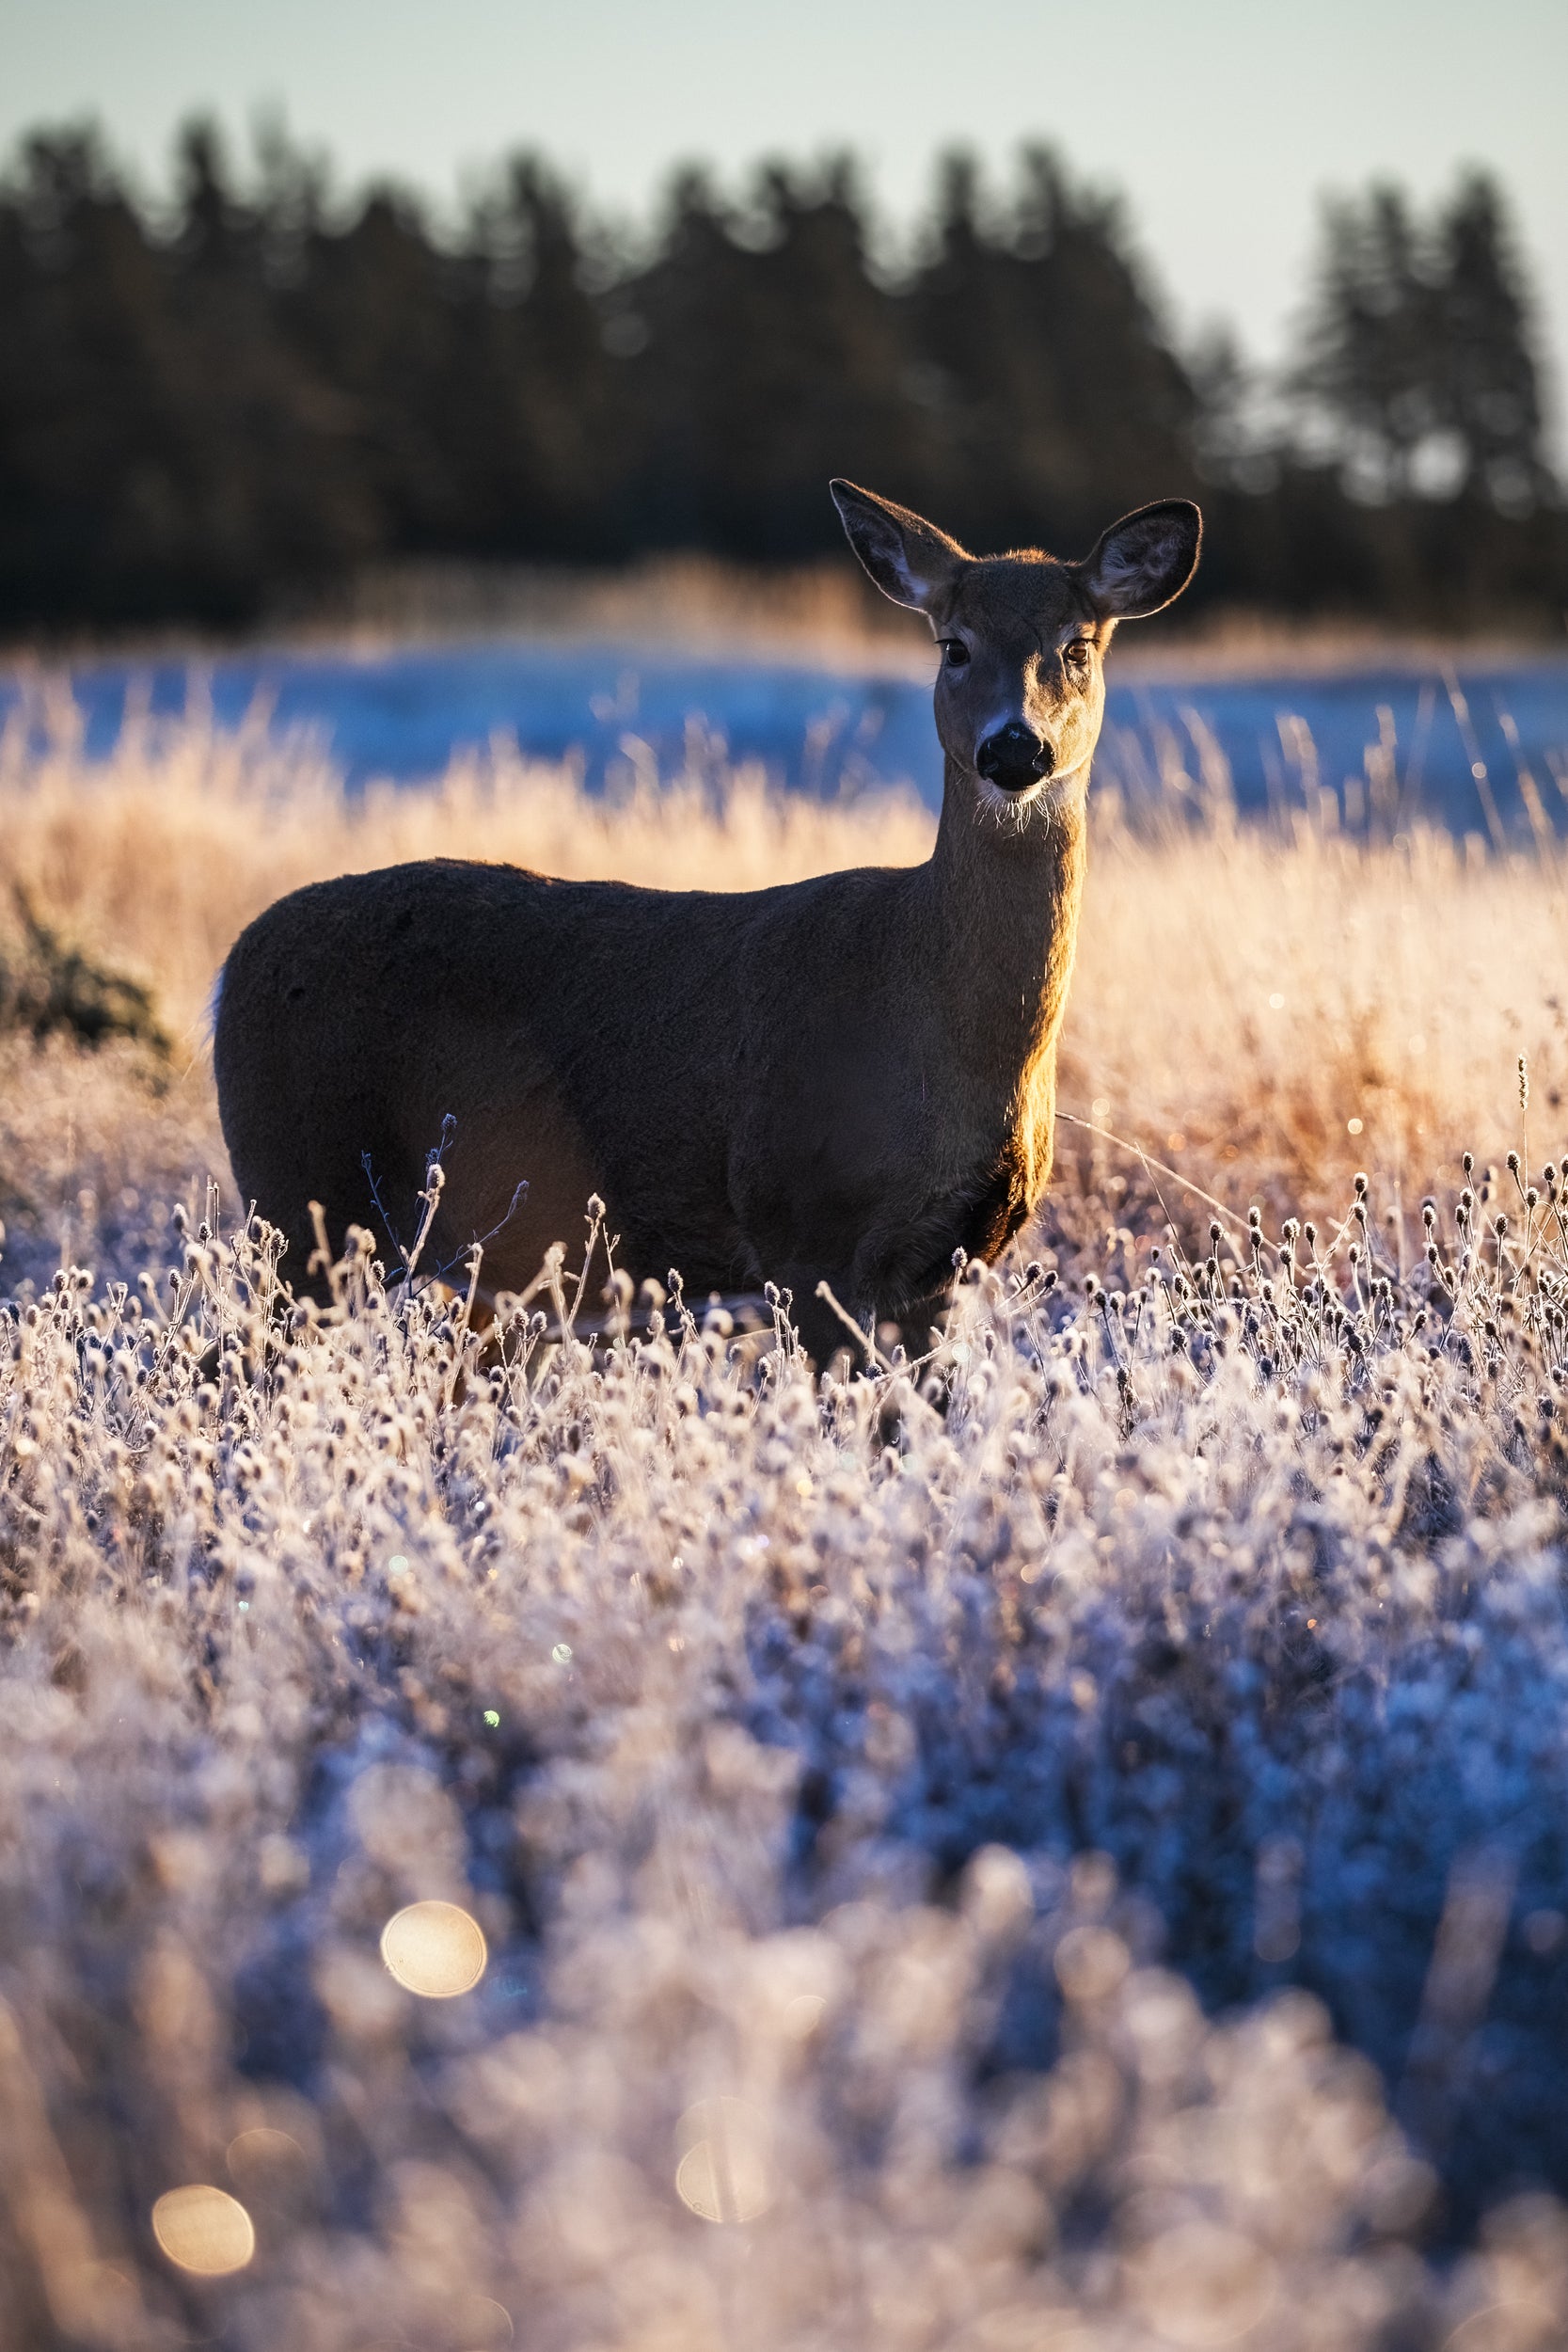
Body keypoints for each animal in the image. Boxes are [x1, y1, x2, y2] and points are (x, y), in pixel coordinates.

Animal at [213, 482, 1200, 1364]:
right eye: (952, 646)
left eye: (1078, 647)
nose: (1014, 748)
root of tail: (234, 963)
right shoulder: (803, 1230)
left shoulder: (948, 1268)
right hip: (304, 1198)